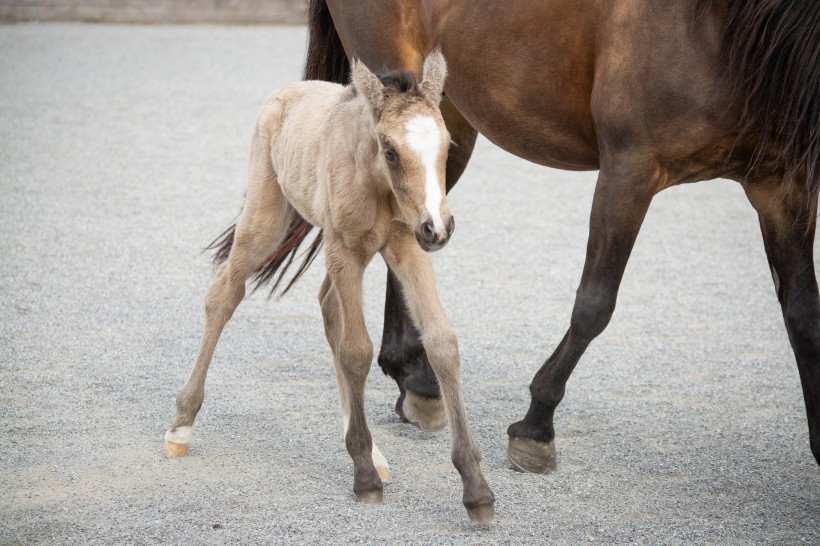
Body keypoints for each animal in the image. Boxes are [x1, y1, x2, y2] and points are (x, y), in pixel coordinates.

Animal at [161, 52, 494, 524]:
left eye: (448, 147)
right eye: (390, 150)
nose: (439, 228)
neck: (376, 182)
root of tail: (290, 90)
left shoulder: (406, 246)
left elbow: (442, 342)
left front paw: (477, 490)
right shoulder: (345, 248)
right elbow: (356, 351)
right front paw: (365, 480)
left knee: (327, 305)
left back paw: (373, 452)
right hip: (268, 218)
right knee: (225, 293)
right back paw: (181, 427)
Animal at [270, 0, 820, 472]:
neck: (718, 27)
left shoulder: (782, 187)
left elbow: (803, 317)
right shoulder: (630, 168)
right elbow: (595, 304)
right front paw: (536, 426)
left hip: (444, 126)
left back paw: (416, 379)